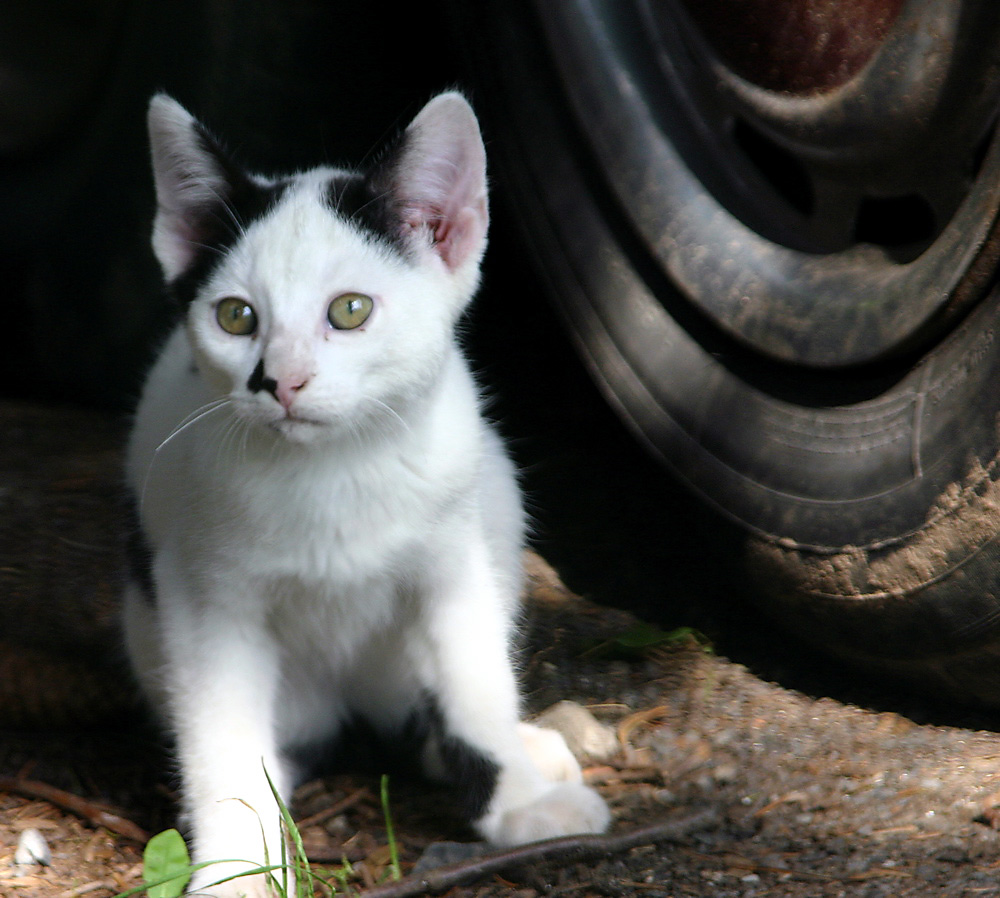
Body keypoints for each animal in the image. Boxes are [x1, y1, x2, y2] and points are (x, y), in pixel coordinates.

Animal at [125, 94, 608, 892]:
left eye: (350, 310)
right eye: (236, 317)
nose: (280, 381)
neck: (332, 470)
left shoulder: (455, 560)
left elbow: (474, 686)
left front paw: (518, 803)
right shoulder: (201, 594)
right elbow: (221, 734)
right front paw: (238, 865)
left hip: (495, 496)